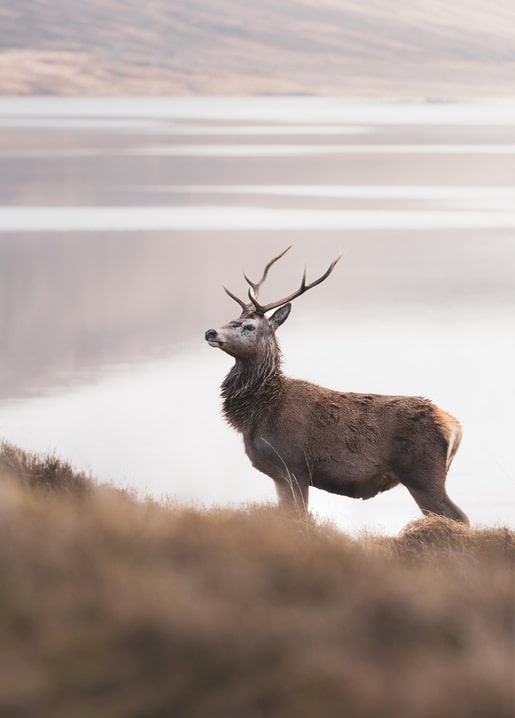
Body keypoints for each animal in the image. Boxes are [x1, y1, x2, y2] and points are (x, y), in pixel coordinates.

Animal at [205, 247, 469, 525]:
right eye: (232, 319)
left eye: (249, 326)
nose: (211, 332)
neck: (260, 412)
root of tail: (455, 427)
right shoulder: (279, 475)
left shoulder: (294, 466)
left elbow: (301, 519)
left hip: (423, 474)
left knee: (459, 516)